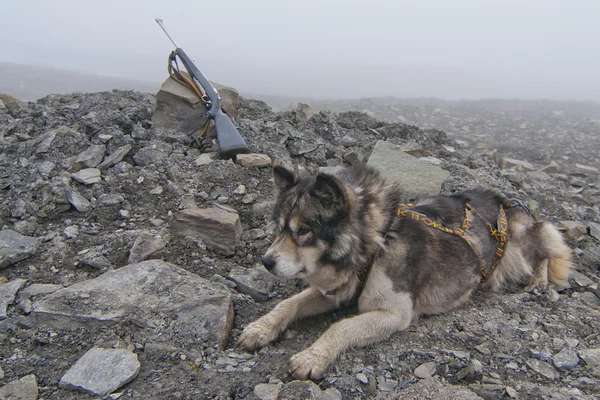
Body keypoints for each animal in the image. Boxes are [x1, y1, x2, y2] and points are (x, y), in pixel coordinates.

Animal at [237, 161, 576, 380]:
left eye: (304, 231)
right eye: (279, 227)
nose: (266, 262)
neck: (376, 243)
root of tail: (504, 199)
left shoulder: (395, 312)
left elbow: (341, 326)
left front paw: (312, 357)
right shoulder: (336, 290)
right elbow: (290, 303)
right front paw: (261, 327)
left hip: (519, 245)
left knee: (545, 249)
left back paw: (538, 280)